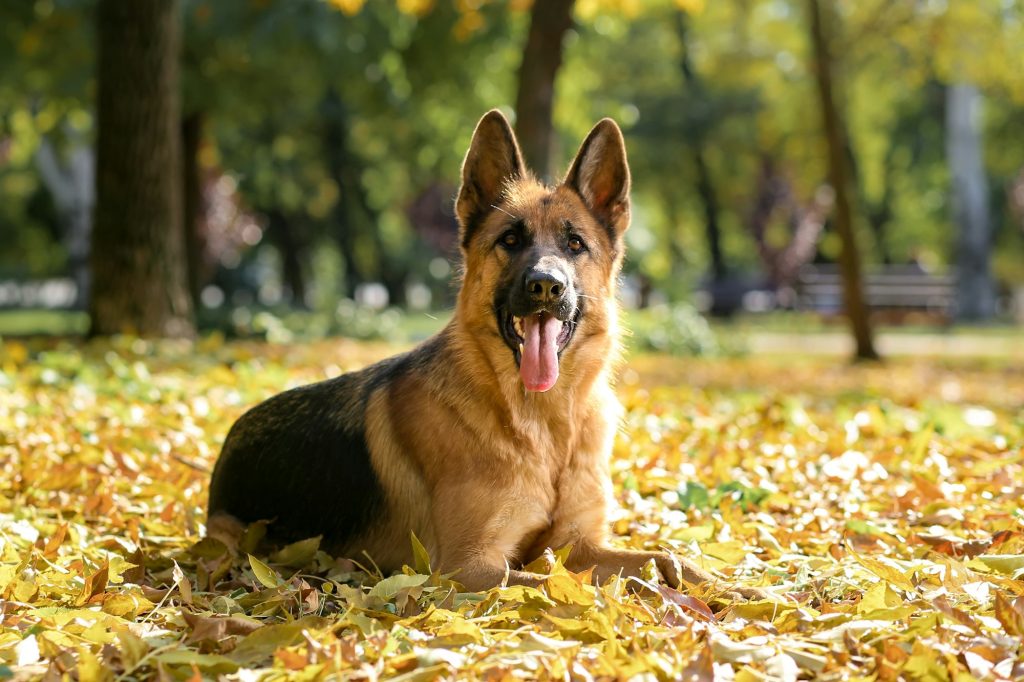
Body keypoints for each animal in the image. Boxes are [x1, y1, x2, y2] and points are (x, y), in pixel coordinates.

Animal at [207, 110, 765, 593]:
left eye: (575, 245)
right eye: (510, 239)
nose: (545, 286)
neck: (544, 427)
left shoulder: (578, 545)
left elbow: (668, 557)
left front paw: (736, 590)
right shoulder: (470, 568)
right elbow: (583, 586)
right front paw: (652, 595)